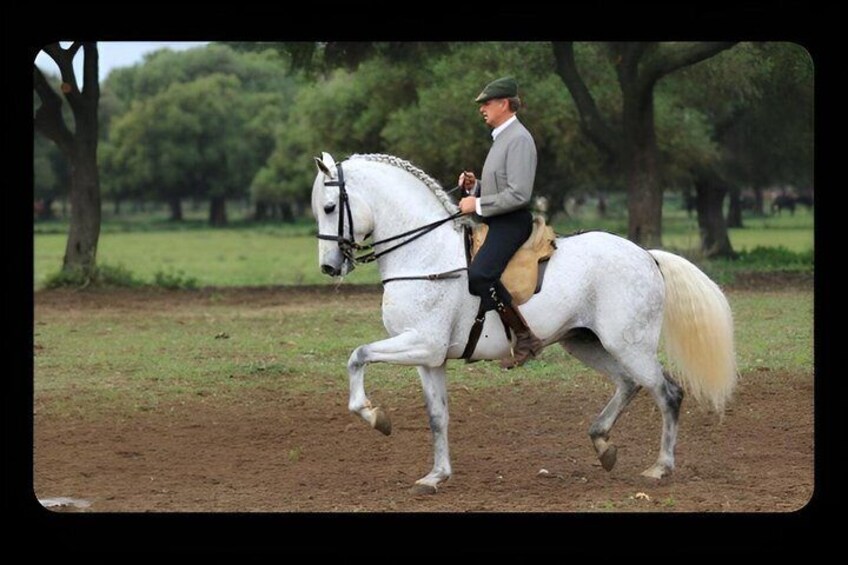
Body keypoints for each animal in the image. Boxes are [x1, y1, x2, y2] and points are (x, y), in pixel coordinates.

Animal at [311, 152, 737, 494]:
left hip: (628, 344)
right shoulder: (429, 359)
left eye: (330, 208)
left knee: (667, 392)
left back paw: (660, 467)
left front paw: (375, 417)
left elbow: (357, 356)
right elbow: (437, 416)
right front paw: (435, 476)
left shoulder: (421, 343)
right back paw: (603, 444)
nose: (330, 267)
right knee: (629, 384)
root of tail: (646, 255)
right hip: (586, 342)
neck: (424, 256)